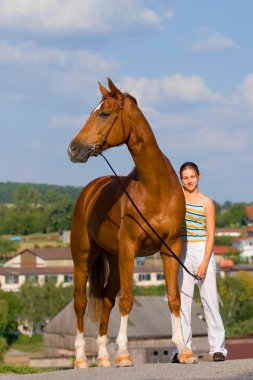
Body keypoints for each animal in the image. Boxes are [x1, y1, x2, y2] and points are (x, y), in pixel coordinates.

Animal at [67, 78, 196, 366]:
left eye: (104, 113)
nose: (73, 148)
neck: (155, 187)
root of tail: (89, 192)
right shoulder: (129, 248)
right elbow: (127, 299)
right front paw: (124, 354)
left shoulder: (170, 249)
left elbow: (173, 298)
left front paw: (184, 350)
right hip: (83, 258)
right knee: (80, 302)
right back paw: (81, 358)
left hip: (113, 260)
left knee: (105, 300)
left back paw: (103, 357)